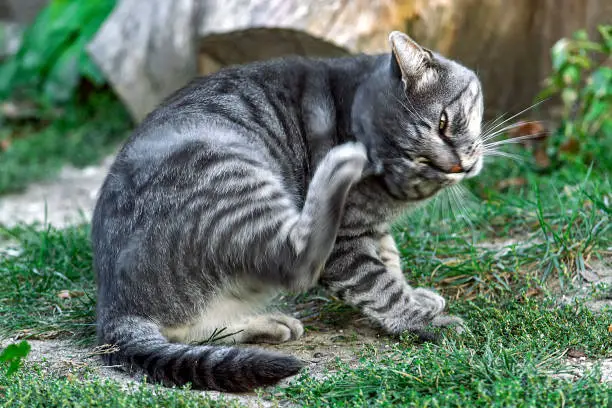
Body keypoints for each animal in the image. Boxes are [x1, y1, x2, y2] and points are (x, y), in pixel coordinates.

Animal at [91, 31, 482, 392]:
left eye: (444, 122)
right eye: (414, 161)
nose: (457, 167)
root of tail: (114, 308)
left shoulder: (373, 228)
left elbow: (390, 259)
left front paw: (416, 297)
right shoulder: (347, 242)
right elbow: (378, 285)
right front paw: (421, 320)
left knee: (190, 329)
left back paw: (266, 324)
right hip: (231, 174)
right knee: (294, 259)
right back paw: (338, 165)